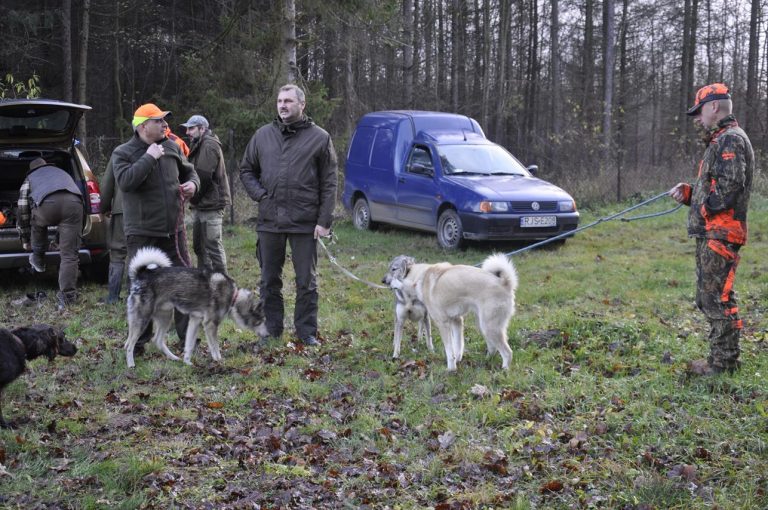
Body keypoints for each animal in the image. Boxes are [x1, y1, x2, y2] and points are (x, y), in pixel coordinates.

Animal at [124, 247, 268, 366]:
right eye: (260, 321)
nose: (268, 335)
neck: (233, 297)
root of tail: (141, 276)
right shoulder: (210, 325)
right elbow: (215, 347)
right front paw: (219, 361)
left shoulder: (195, 320)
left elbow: (189, 345)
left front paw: (187, 362)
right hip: (142, 320)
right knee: (130, 344)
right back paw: (131, 364)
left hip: (166, 316)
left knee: (157, 340)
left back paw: (174, 358)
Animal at [388, 254, 520, 370]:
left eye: (394, 271)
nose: (385, 281)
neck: (421, 278)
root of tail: (505, 283)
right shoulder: (456, 321)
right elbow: (458, 345)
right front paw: (458, 360)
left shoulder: (443, 324)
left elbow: (449, 350)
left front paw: (451, 369)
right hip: (482, 326)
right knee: (493, 348)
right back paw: (486, 361)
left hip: (490, 327)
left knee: (507, 353)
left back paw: (504, 370)